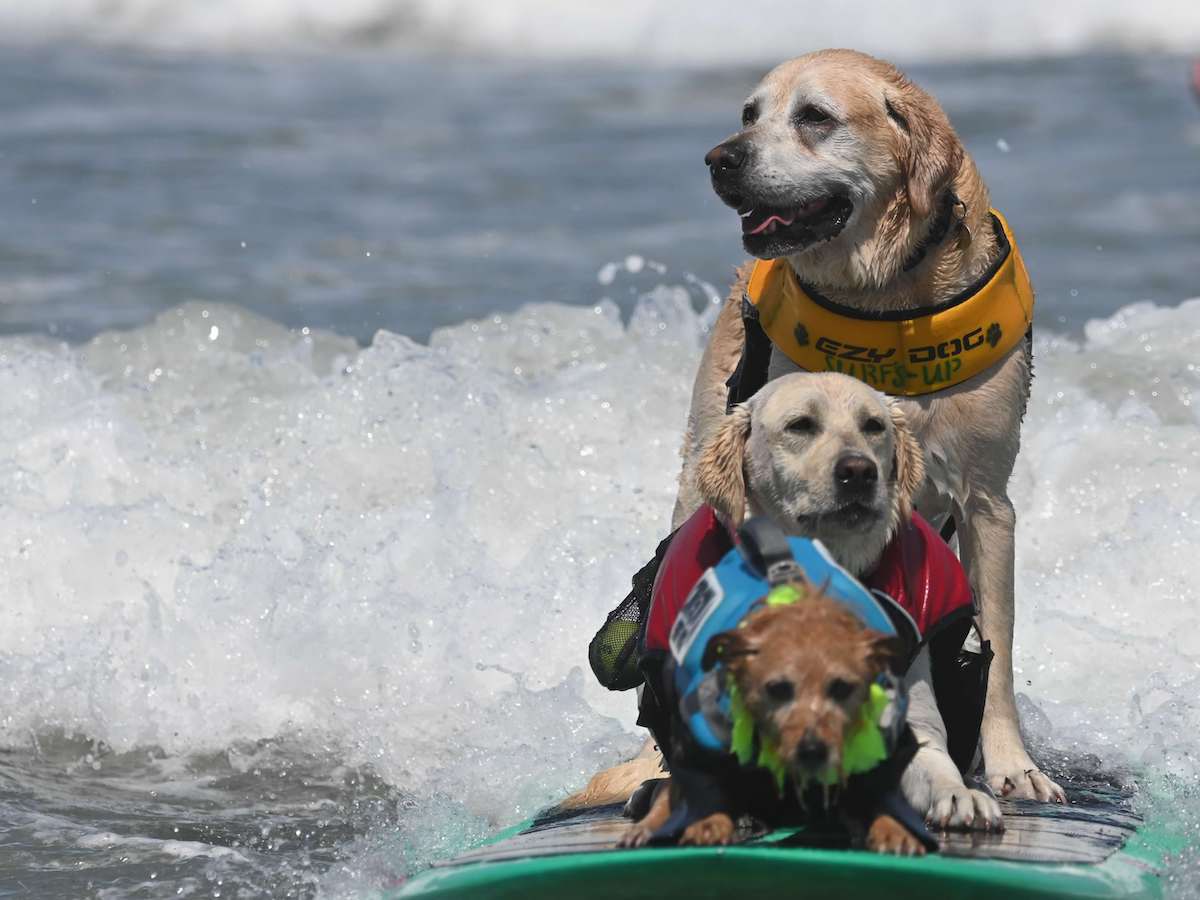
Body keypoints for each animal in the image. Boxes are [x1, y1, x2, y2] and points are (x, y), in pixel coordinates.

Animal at [676, 47, 1060, 801]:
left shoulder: (988, 504)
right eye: (749, 113)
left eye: (814, 117)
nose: (720, 159)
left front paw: (1012, 764)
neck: (888, 301)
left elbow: (996, 646)